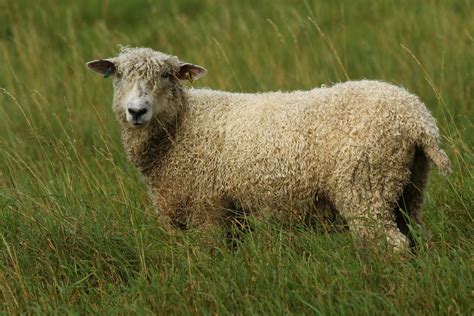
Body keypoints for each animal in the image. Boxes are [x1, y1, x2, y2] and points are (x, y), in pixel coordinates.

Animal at [86, 46, 452, 252]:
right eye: (117, 75)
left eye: (166, 75)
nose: (136, 111)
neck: (182, 128)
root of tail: (417, 119)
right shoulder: (220, 217)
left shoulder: (209, 211)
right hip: (407, 187)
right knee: (416, 237)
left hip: (364, 186)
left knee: (391, 245)